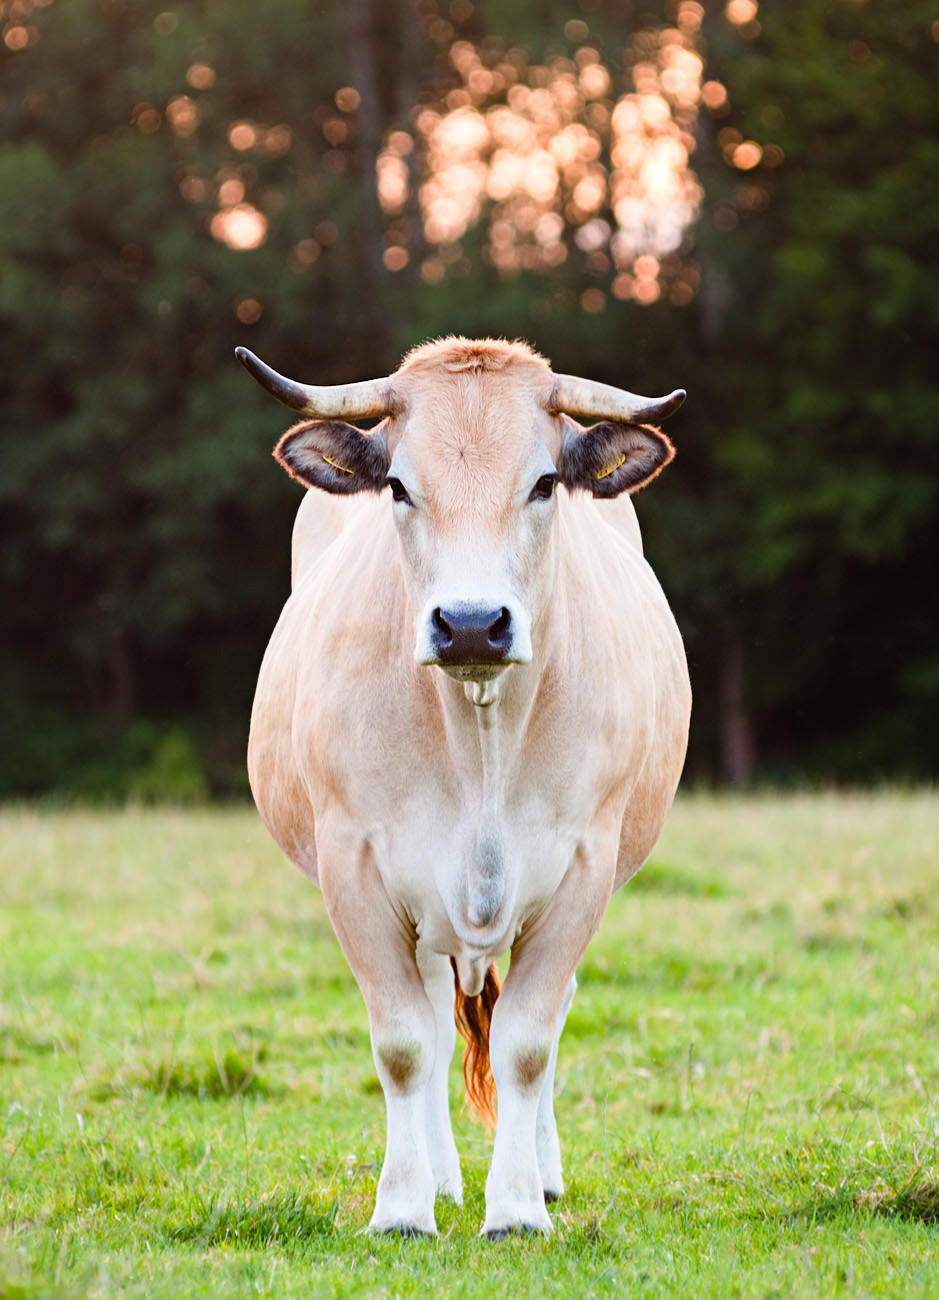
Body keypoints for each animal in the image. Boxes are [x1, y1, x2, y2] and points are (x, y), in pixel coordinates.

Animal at [234, 335, 686, 1237]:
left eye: (544, 483)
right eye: (399, 487)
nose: (472, 624)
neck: (480, 738)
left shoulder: (583, 868)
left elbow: (527, 1041)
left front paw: (515, 1206)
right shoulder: (354, 867)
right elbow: (405, 1045)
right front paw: (404, 1205)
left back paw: (541, 1171)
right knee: (438, 1022)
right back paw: (442, 1175)